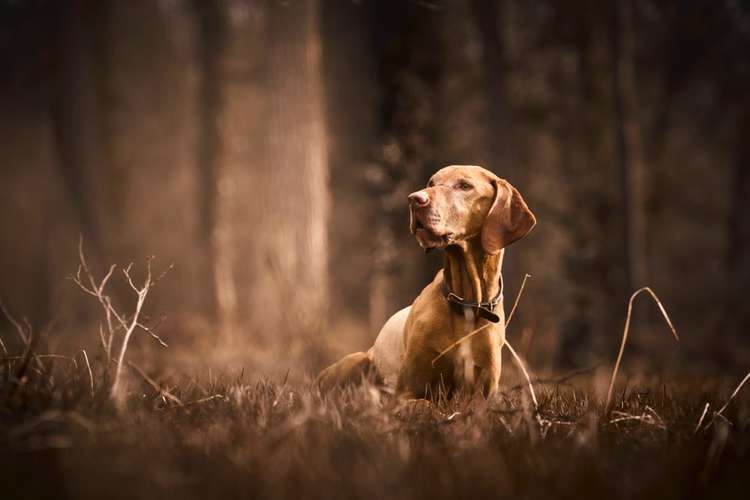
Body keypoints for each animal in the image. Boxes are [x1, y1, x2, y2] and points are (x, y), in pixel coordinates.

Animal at [314, 165, 536, 398]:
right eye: (431, 183)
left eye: (465, 186)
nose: (414, 199)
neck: (466, 304)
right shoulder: (407, 392)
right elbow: (426, 403)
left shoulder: (480, 395)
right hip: (356, 361)